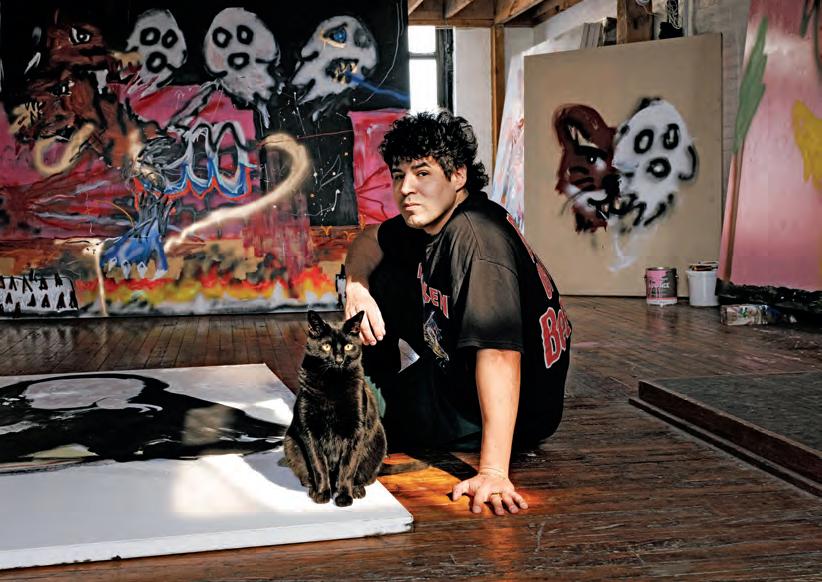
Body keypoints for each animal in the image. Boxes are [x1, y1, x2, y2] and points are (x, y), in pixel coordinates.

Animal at [283, 310, 387, 506]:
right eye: (325, 347)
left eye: (348, 347)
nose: (338, 359)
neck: (333, 383)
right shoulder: (309, 431)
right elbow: (319, 466)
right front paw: (322, 493)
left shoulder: (356, 431)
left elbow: (347, 468)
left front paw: (344, 496)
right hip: (290, 442)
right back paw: (313, 488)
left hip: (379, 441)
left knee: (363, 476)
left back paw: (357, 490)